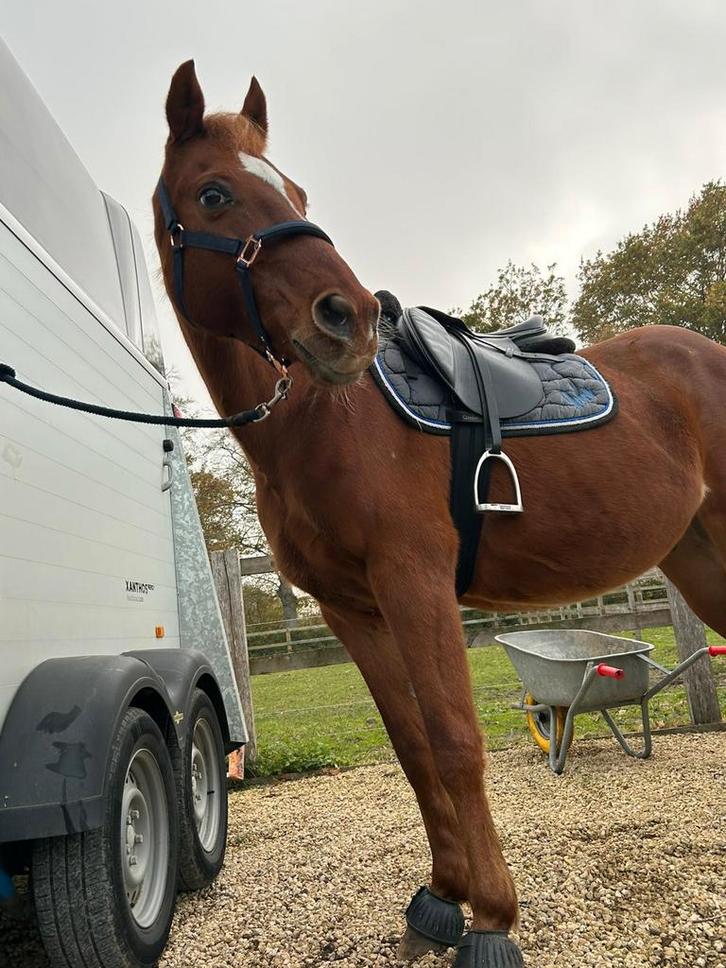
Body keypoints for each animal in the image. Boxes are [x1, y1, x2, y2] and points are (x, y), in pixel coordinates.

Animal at [153, 61, 726, 968]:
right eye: (213, 194)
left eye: (296, 190)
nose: (347, 318)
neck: (324, 423)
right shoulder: (352, 609)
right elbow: (415, 749)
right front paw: (442, 899)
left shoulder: (415, 582)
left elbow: (457, 744)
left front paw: (491, 918)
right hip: (698, 557)